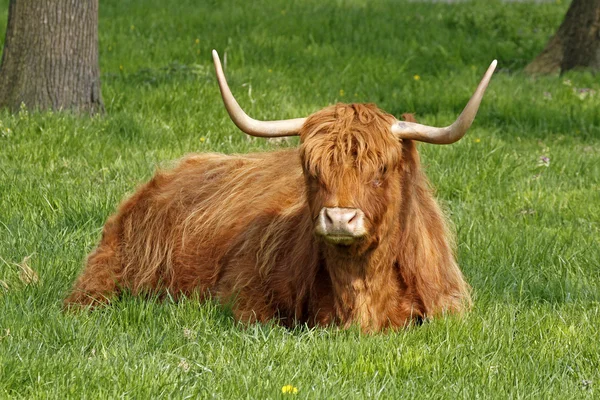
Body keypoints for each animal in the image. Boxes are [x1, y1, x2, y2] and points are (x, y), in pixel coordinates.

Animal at [65, 50, 496, 332]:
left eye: (382, 170)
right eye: (311, 170)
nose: (339, 218)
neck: (360, 295)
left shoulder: (450, 305)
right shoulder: (243, 293)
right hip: (104, 276)